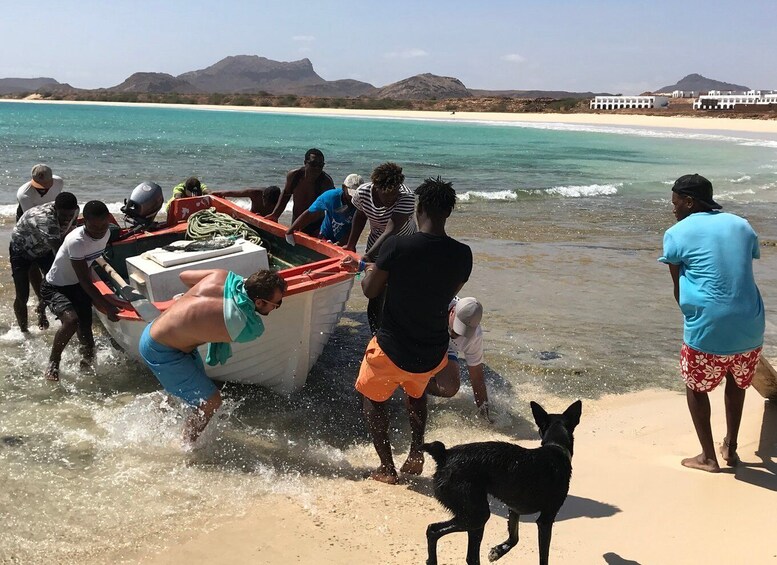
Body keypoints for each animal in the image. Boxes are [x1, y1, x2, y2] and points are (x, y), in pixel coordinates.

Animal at [422, 398, 580, 564]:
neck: (556, 447)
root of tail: (444, 455)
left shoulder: (514, 508)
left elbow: (514, 536)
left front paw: (498, 551)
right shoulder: (546, 519)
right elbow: (543, 556)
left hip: (474, 515)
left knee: (464, 552)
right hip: (476, 514)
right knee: (435, 530)